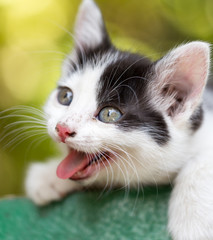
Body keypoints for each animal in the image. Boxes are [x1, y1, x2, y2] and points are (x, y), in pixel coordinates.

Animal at [25, 0, 213, 239]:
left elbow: (202, 160)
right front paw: (47, 176)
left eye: (109, 114)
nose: (62, 128)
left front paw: (194, 222)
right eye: (65, 97)